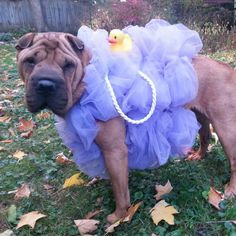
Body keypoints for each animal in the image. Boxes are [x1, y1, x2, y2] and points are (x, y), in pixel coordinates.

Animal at [16, 32, 236, 223]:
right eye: (29, 61)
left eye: (68, 65)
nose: (46, 84)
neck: (87, 80)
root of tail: (227, 68)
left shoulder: (114, 151)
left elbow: (120, 189)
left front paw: (119, 216)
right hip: (200, 114)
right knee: (205, 133)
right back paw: (199, 155)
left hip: (226, 128)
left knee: (233, 160)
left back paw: (231, 190)